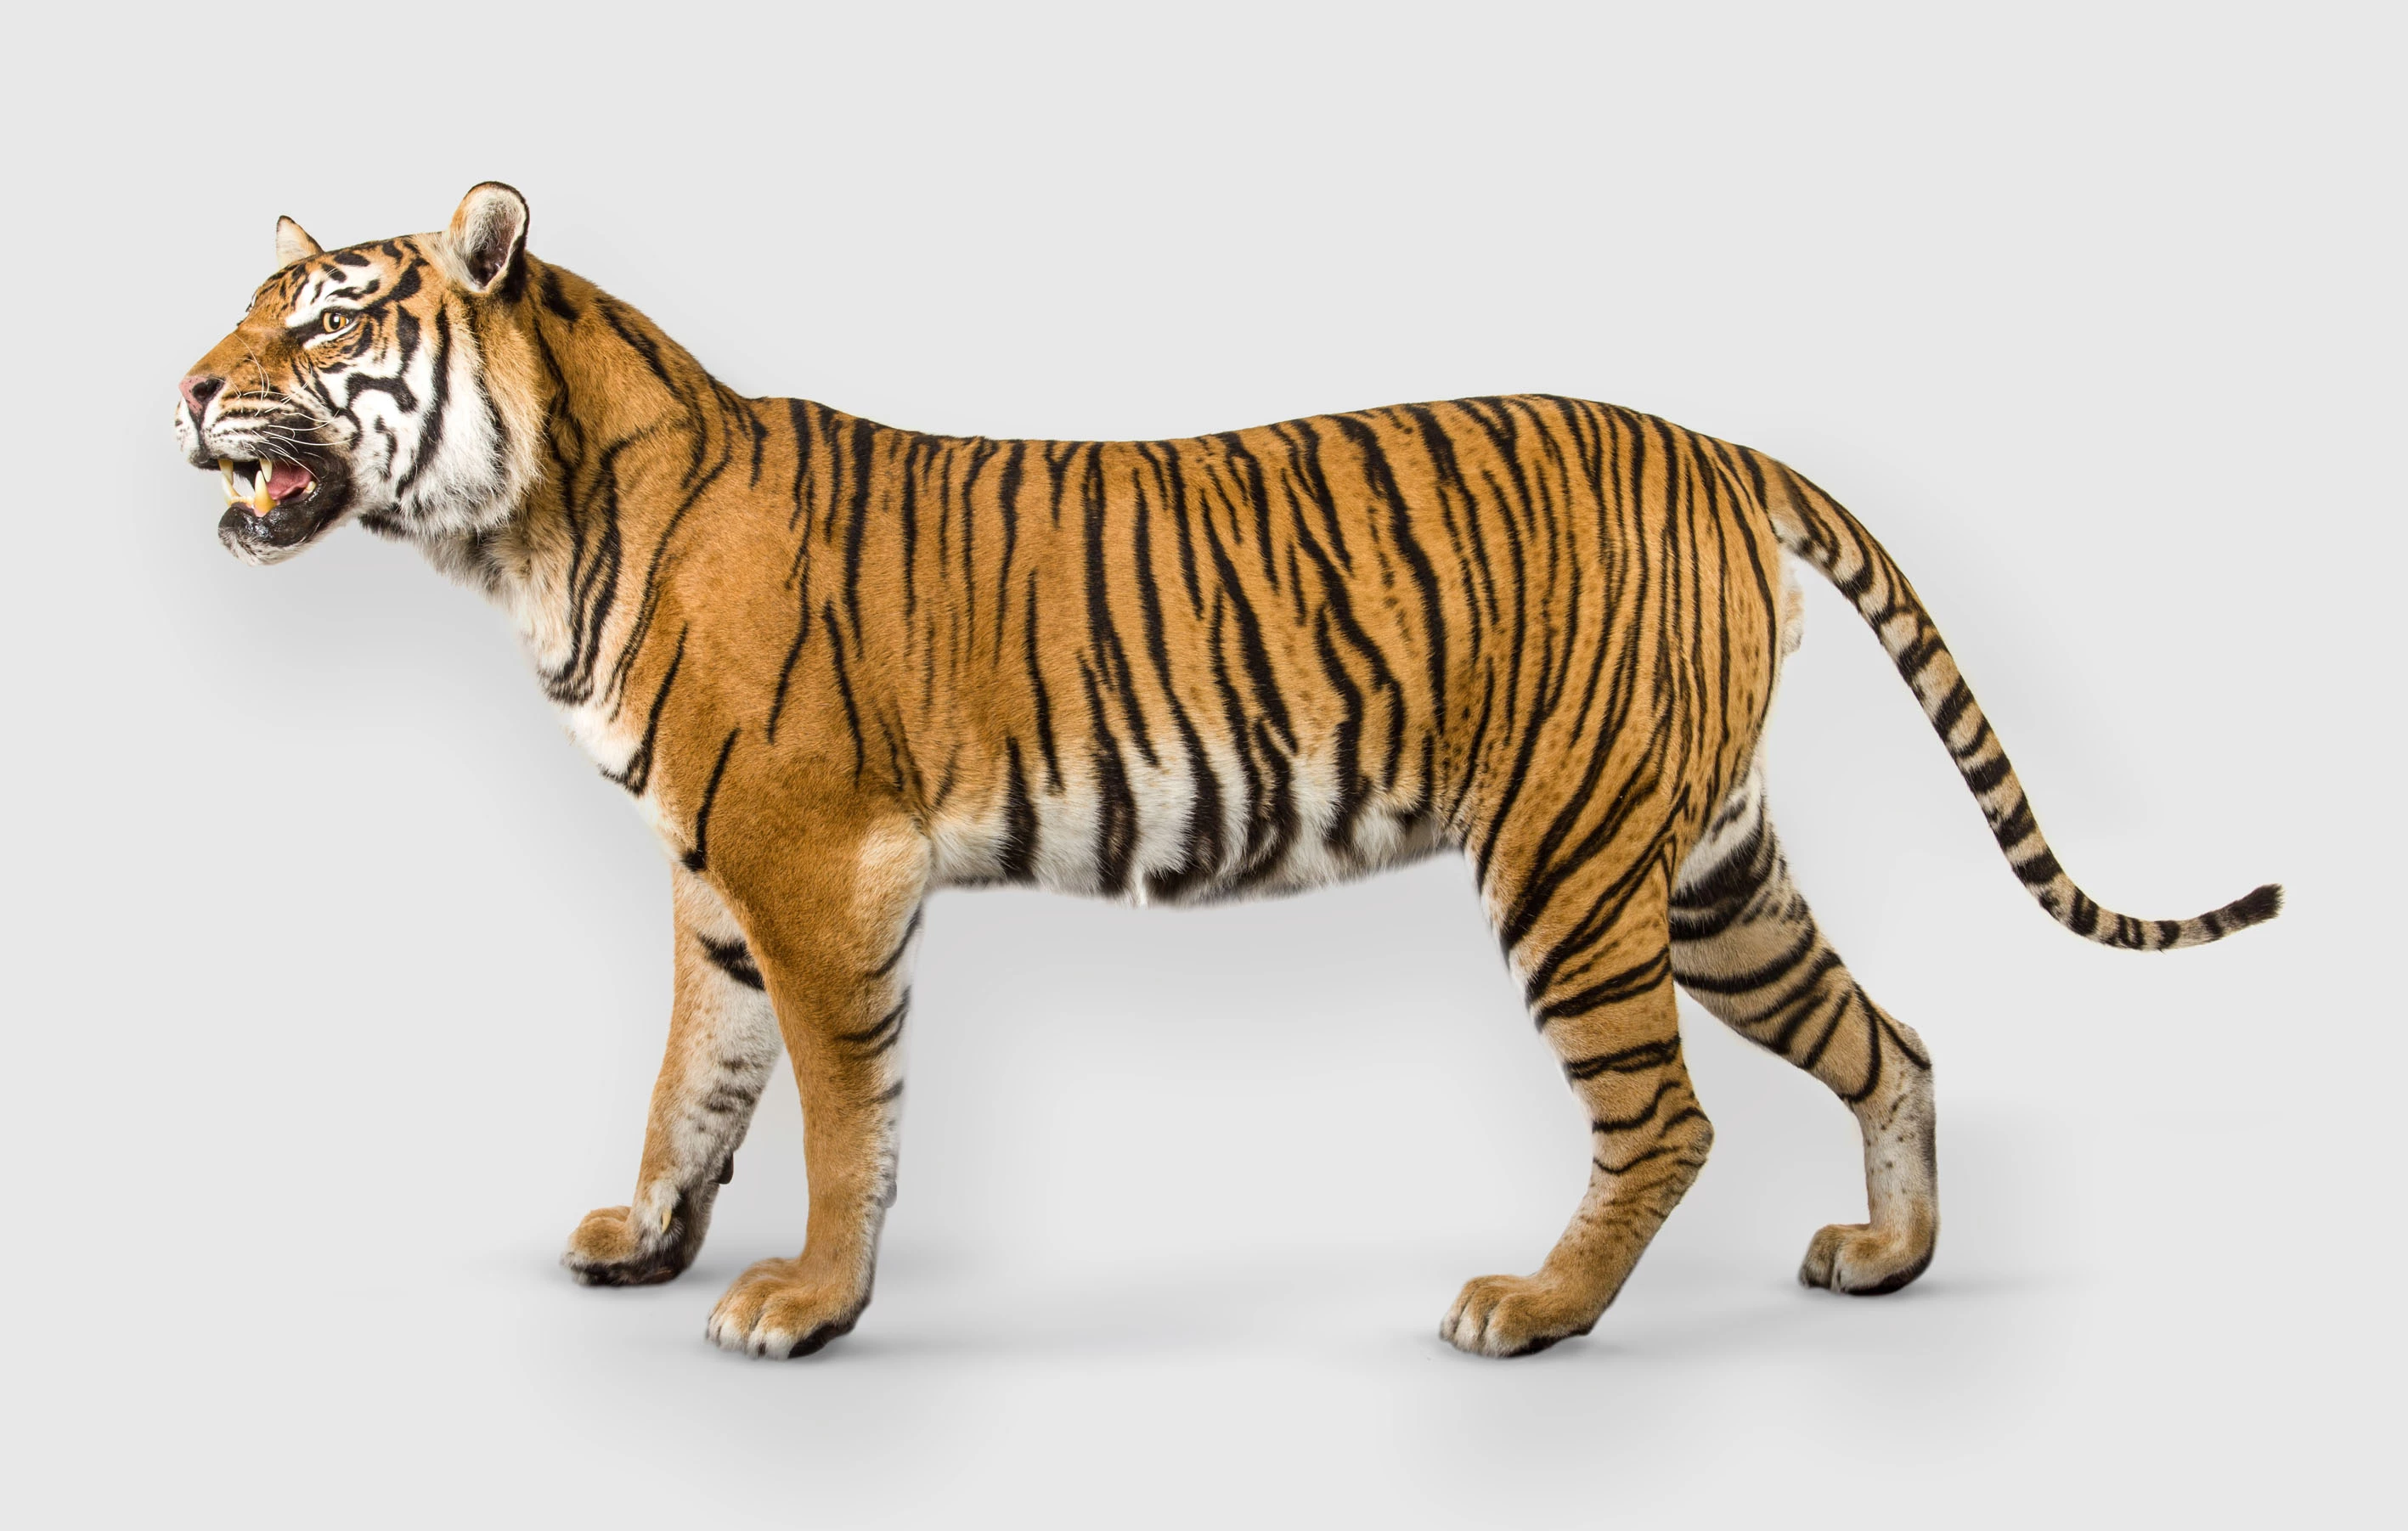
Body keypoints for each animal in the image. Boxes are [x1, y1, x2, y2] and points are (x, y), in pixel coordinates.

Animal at [172, 183, 2280, 1360]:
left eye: (327, 313)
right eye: (252, 306)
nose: (187, 390)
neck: (530, 535)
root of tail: (1719, 447)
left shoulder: (812, 862)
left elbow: (841, 1110)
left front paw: (803, 1302)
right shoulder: (712, 878)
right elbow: (694, 1079)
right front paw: (644, 1237)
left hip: (1573, 859)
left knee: (1666, 1117)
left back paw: (1531, 1312)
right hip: (1704, 865)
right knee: (1889, 1037)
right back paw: (1888, 1257)